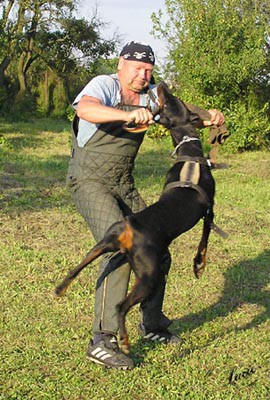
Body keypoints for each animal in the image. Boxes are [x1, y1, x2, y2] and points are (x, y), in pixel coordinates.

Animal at [54, 82, 226, 354]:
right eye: (174, 100)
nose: (163, 84)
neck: (189, 154)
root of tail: (129, 228)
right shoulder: (209, 209)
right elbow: (205, 238)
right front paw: (199, 264)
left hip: (104, 243)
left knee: (78, 266)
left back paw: (60, 289)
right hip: (148, 274)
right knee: (120, 306)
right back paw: (123, 342)